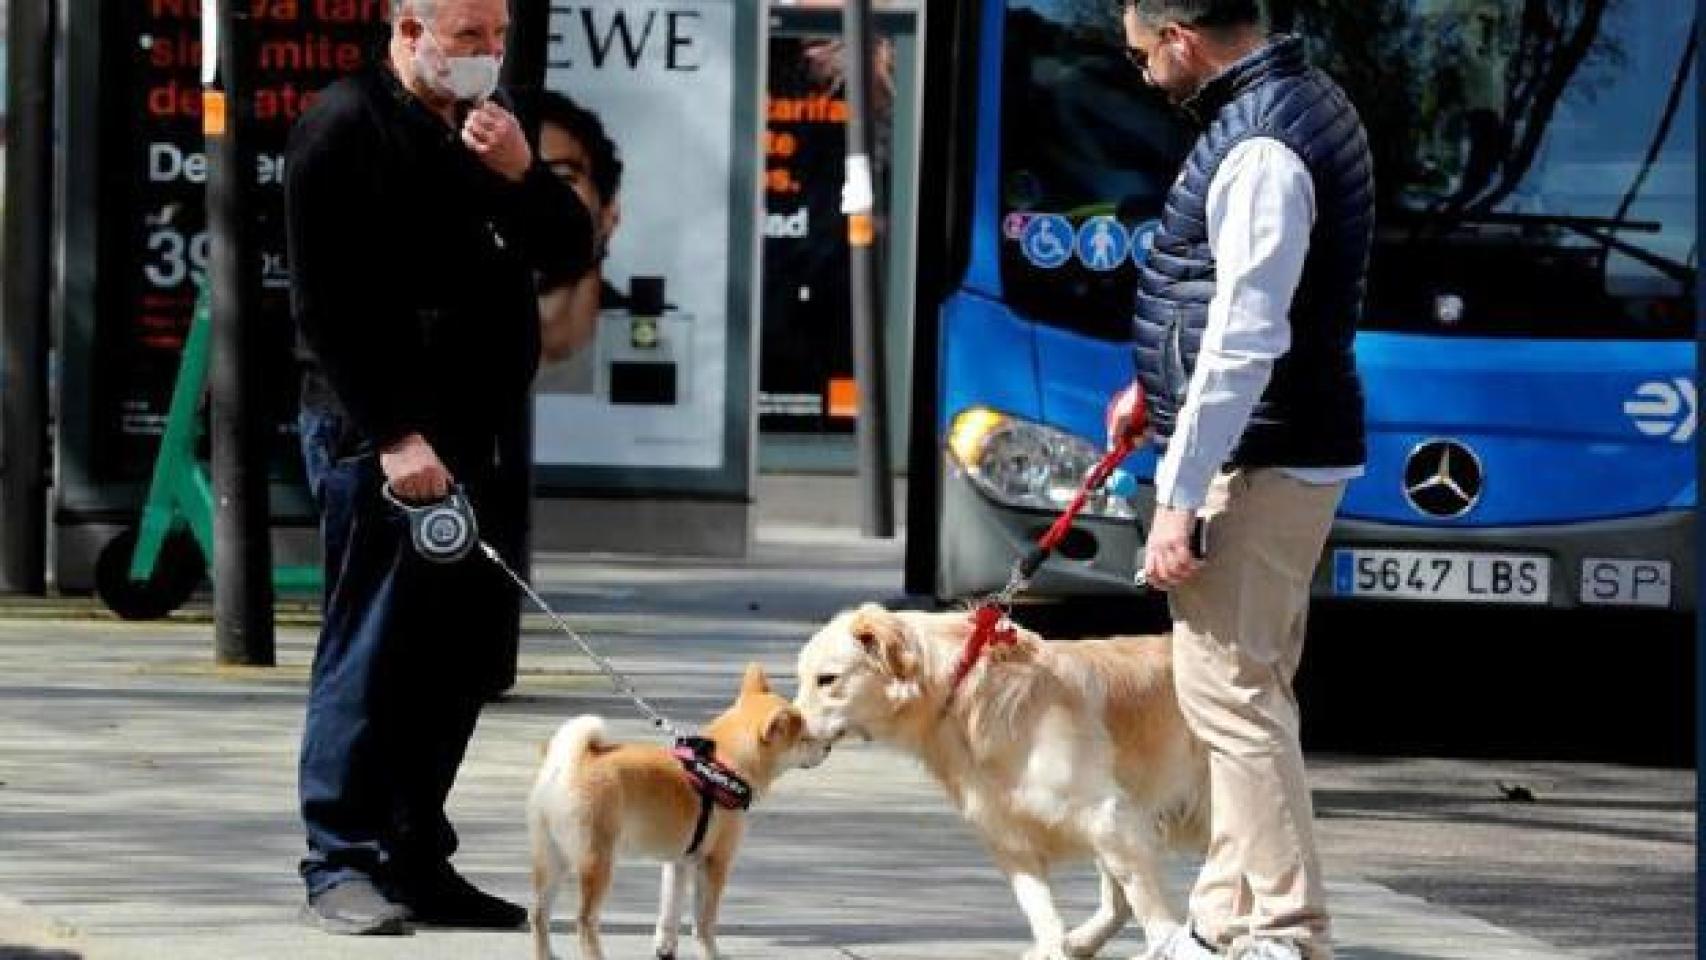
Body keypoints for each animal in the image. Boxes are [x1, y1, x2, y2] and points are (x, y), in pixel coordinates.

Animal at [528, 665, 829, 960]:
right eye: (805, 738)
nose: (827, 747)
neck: (725, 764)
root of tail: (570, 764)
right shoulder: (715, 863)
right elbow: (704, 922)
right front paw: (710, 954)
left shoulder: (679, 863)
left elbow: (669, 914)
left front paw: (665, 950)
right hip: (596, 861)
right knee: (584, 920)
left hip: (552, 858)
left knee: (539, 914)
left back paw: (546, 955)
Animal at [791, 607, 1207, 960]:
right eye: (801, 679)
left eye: (826, 679)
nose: (789, 728)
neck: (961, 690)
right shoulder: (1008, 835)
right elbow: (1040, 910)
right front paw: (1052, 948)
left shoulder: (1107, 814)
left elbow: (1143, 897)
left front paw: (1165, 942)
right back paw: (1083, 941)